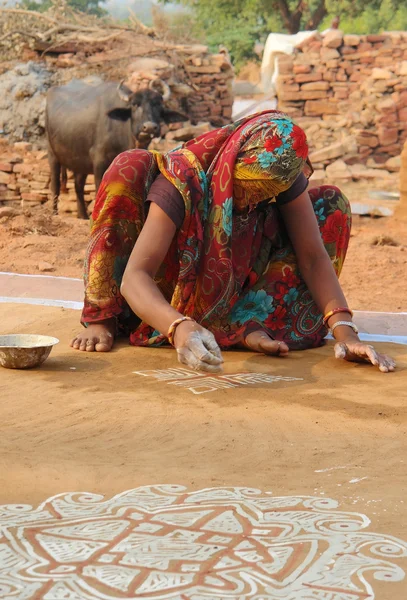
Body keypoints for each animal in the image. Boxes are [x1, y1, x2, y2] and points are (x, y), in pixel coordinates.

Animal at [47, 79, 186, 219]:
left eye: (158, 106)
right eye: (135, 105)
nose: (150, 127)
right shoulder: (99, 161)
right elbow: (99, 188)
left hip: (80, 162)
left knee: (78, 186)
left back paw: (83, 215)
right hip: (53, 155)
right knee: (55, 185)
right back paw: (54, 213)